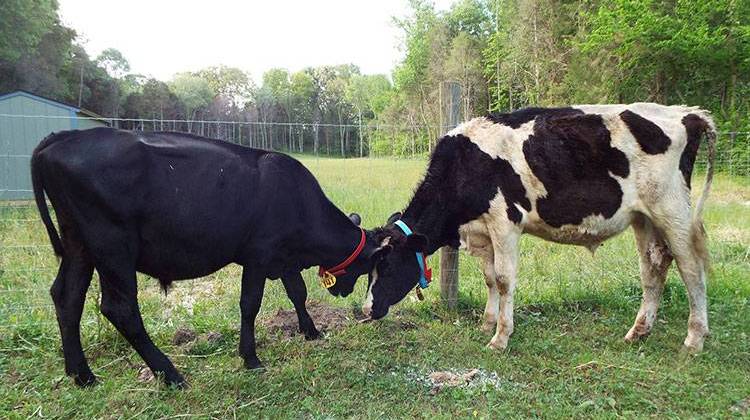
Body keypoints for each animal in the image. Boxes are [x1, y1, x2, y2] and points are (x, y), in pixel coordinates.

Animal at [31, 128, 390, 388]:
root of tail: (62, 137)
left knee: (67, 298)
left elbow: (297, 293)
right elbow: (250, 304)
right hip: (113, 248)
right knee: (120, 309)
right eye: (368, 268)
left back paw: (82, 375)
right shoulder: (259, 255)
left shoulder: (283, 257)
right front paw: (250, 358)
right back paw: (171, 375)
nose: (341, 291)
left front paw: (311, 331)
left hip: (79, 244)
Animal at [364, 103, 716, 352]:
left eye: (388, 265)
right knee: (653, 269)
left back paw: (694, 339)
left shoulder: (505, 222)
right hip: (644, 218)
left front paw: (500, 338)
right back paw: (638, 332)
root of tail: (687, 114)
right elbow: (489, 278)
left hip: (672, 210)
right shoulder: (483, 231)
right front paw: (487, 323)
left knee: (691, 268)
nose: (365, 310)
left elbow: (504, 280)